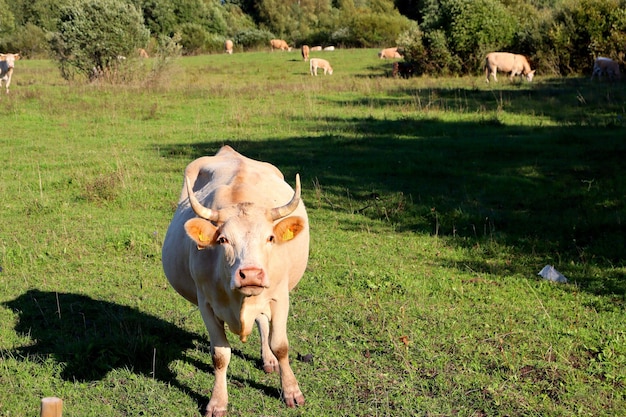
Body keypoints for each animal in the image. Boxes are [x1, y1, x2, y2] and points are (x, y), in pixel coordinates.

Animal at [161, 145, 308, 414]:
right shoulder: (206, 304)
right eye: (223, 239)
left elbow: (280, 345)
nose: (250, 274)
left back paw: (268, 359)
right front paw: (217, 402)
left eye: (270, 238)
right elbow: (220, 355)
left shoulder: (280, 297)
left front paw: (291, 391)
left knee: (263, 323)